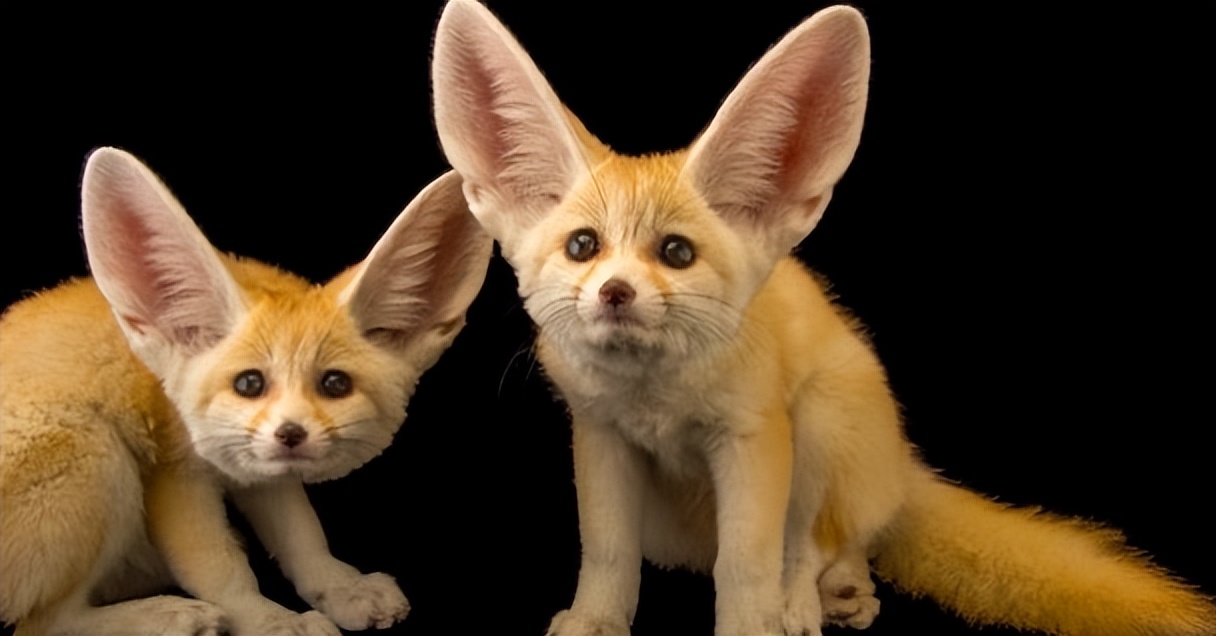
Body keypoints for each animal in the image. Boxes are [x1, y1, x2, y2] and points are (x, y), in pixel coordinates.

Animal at [0, 148, 492, 636]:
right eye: (249, 384)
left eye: (335, 384)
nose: (291, 434)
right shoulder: (176, 477)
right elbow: (221, 570)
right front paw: (271, 622)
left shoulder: (262, 471)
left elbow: (301, 534)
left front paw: (341, 589)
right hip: (97, 451)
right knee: (43, 624)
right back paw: (166, 616)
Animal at [429, 1, 1216, 635]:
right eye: (584, 247)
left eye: (676, 253)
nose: (615, 292)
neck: (656, 399)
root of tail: (902, 465)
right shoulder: (602, 438)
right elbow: (607, 552)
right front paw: (594, 623)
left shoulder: (751, 436)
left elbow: (747, 561)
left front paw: (752, 628)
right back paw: (837, 595)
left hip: (816, 425)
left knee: (818, 542)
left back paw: (812, 604)